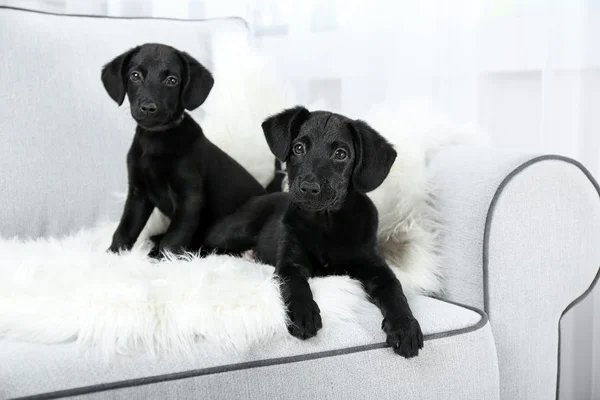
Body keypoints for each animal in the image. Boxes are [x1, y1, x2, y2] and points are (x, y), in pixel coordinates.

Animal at [103, 44, 264, 256]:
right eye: (135, 76)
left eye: (172, 80)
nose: (148, 107)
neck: (155, 140)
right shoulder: (138, 194)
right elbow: (125, 228)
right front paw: (114, 253)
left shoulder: (190, 199)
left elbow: (173, 239)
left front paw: (163, 258)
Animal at [206, 105, 422, 356]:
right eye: (298, 148)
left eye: (341, 154)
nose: (308, 188)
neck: (325, 223)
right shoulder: (290, 263)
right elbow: (296, 285)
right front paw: (303, 314)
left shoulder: (377, 267)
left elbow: (395, 291)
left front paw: (405, 327)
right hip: (238, 229)